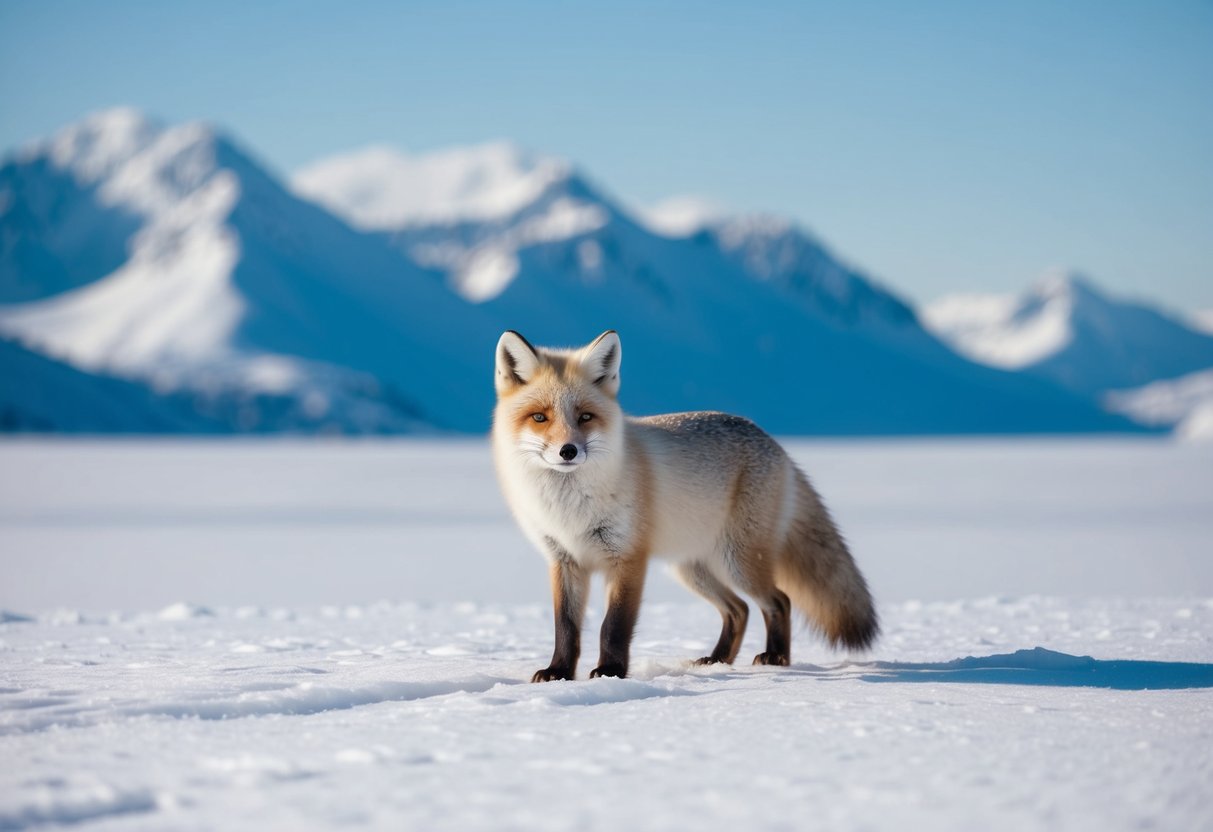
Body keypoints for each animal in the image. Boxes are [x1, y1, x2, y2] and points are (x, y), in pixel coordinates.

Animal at [492, 329, 878, 682]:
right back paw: (718, 660)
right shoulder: (564, 560)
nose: (568, 451)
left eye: (585, 417)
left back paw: (776, 658)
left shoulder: (628, 558)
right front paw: (559, 672)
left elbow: (613, 625)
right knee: (738, 609)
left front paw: (611, 672)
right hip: (692, 568)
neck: (569, 509)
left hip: (738, 562)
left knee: (779, 601)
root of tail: (775, 443)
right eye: (539, 417)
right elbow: (566, 627)